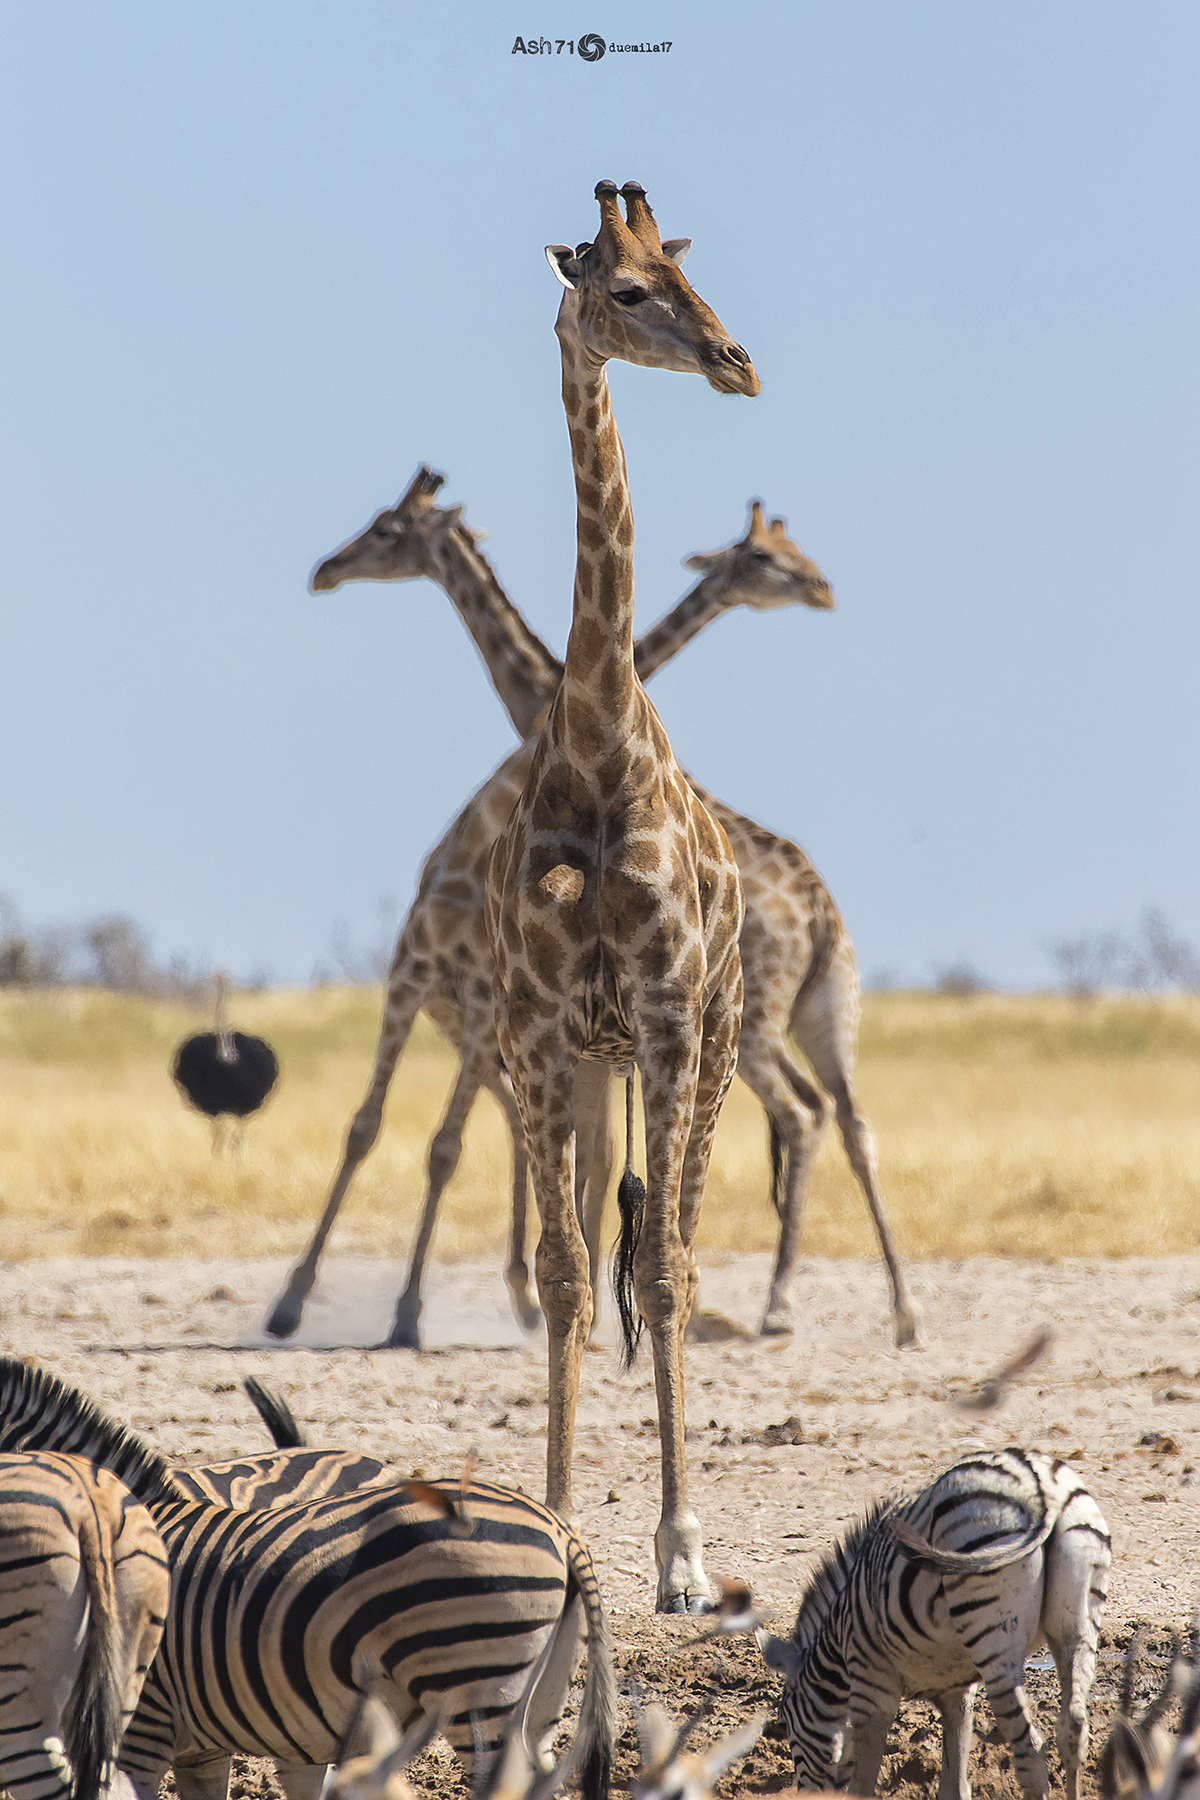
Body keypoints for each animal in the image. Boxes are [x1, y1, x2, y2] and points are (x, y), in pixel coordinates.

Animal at [302, 468, 919, 1347]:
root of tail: (822, 912)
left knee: (801, 1115)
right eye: (769, 556)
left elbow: (574, 1152)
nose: (326, 569)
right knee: (853, 1122)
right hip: (829, 1008)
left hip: (746, 1018)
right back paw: (892, 1313)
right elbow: (581, 1151)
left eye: (387, 531)